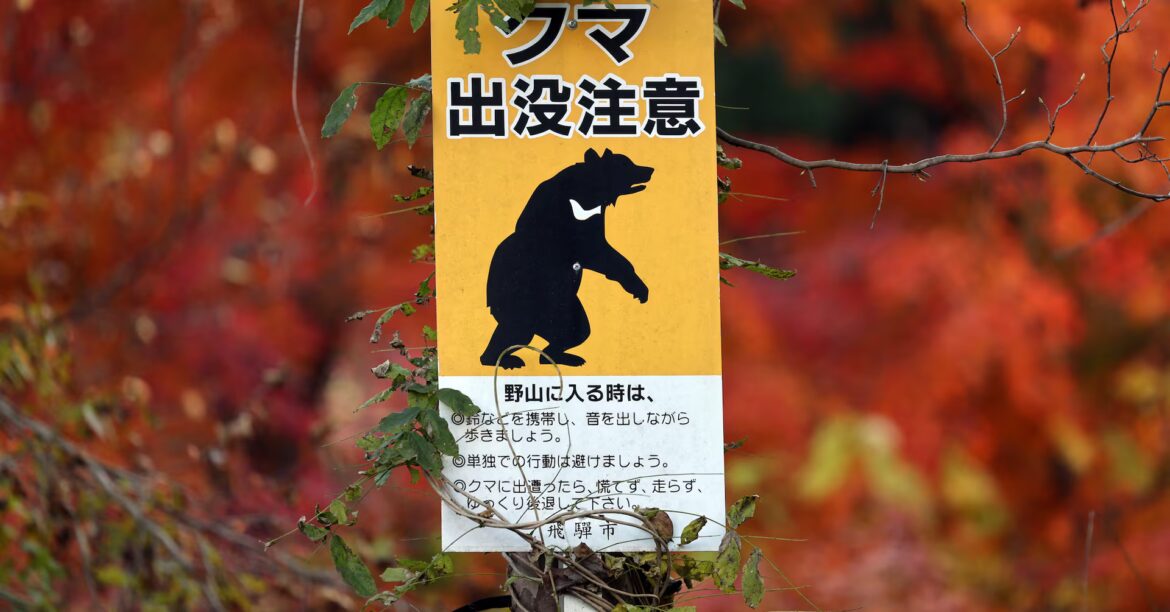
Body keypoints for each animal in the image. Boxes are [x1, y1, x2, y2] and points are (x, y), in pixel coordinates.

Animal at [480, 148, 655, 369]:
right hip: (521, 300)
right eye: (625, 164)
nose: (650, 169)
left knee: (576, 330)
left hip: (564, 307)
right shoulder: (565, 222)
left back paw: (560, 357)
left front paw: (638, 288)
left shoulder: (592, 218)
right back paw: (505, 360)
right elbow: (597, 252)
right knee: (517, 328)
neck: (586, 196)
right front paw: (637, 287)